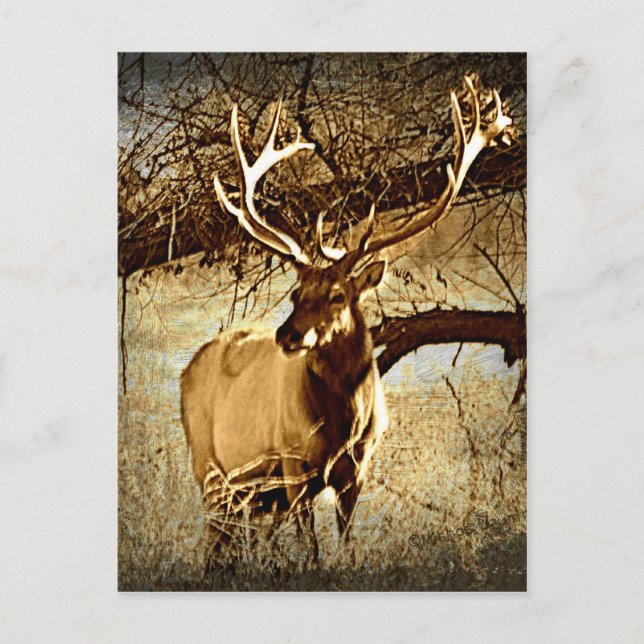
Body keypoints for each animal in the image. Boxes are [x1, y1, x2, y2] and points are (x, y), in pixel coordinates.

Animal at [180, 77, 511, 560]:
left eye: (337, 295)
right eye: (296, 292)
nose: (286, 334)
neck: (343, 427)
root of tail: (186, 369)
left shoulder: (357, 471)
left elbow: (346, 544)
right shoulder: (293, 466)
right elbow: (312, 551)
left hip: (252, 493)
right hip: (209, 468)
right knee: (214, 543)